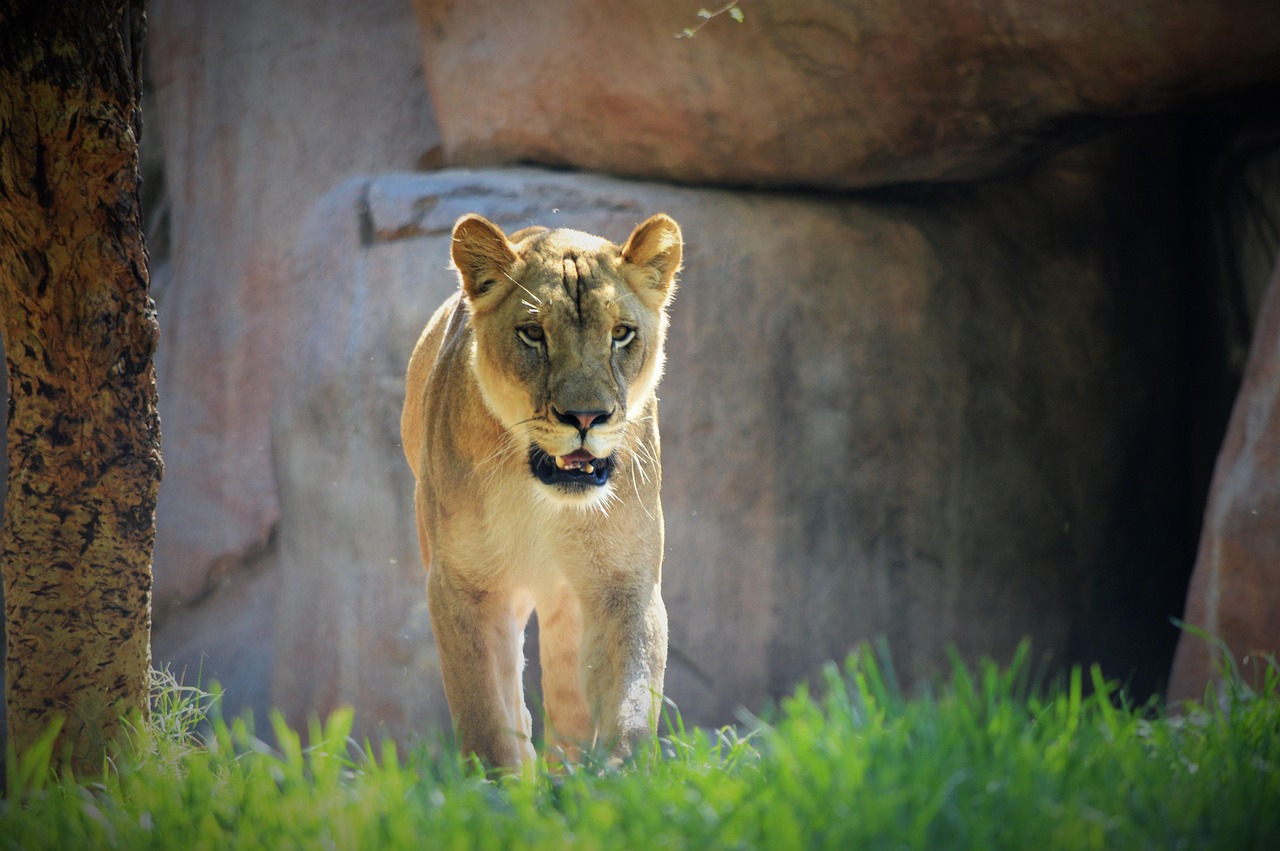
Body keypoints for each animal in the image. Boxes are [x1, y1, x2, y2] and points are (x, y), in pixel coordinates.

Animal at [401, 212, 682, 769]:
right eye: (533, 334)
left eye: (621, 334)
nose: (586, 417)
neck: (542, 500)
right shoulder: (464, 584)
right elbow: (486, 711)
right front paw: (496, 785)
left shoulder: (624, 580)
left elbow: (631, 697)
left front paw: (621, 776)